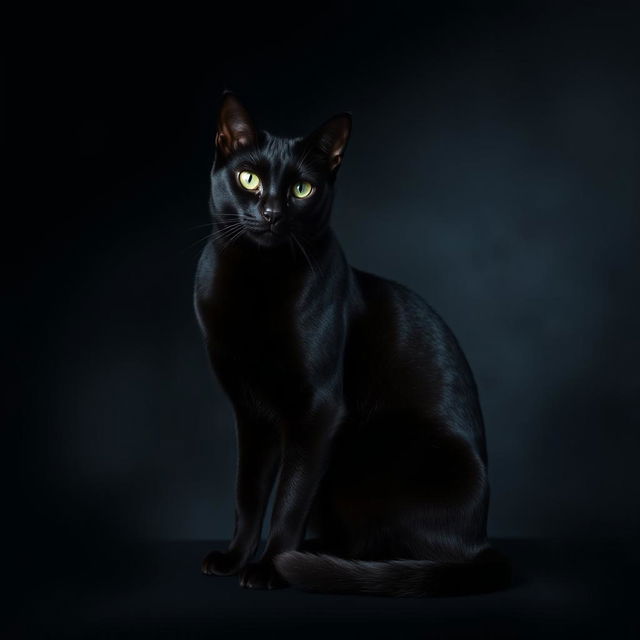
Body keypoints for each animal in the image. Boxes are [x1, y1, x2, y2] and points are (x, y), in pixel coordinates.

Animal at [195, 91, 510, 596]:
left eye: (302, 189)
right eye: (249, 179)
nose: (271, 213)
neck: (257, 283)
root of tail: (480, 544)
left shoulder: (318, 411)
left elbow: (289, 500)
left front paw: (270, 567)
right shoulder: (250, 413)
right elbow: (248, 496)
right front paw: (234, 559)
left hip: (388, 451)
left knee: (391, 548)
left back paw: (317, 561)